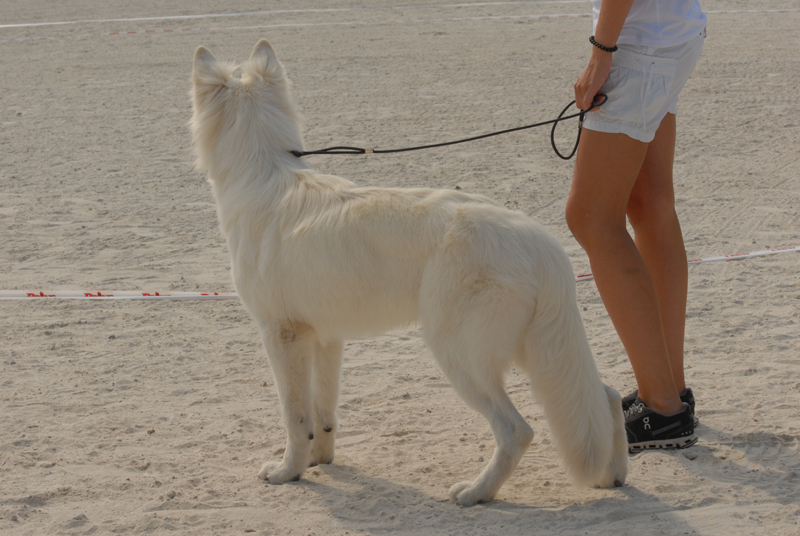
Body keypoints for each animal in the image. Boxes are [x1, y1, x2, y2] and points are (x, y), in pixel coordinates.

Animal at [191, 39, 628, 504]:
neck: (263, 171)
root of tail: (538, 240)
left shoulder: (282, 336)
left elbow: (295, 417)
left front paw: (288, 471)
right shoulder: (325, 338)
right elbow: (323, 414)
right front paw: (320, 461)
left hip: (460, 354)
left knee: (517, 430)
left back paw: (476, 492)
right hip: (539, 350)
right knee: (606, 396)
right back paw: (612, 476)